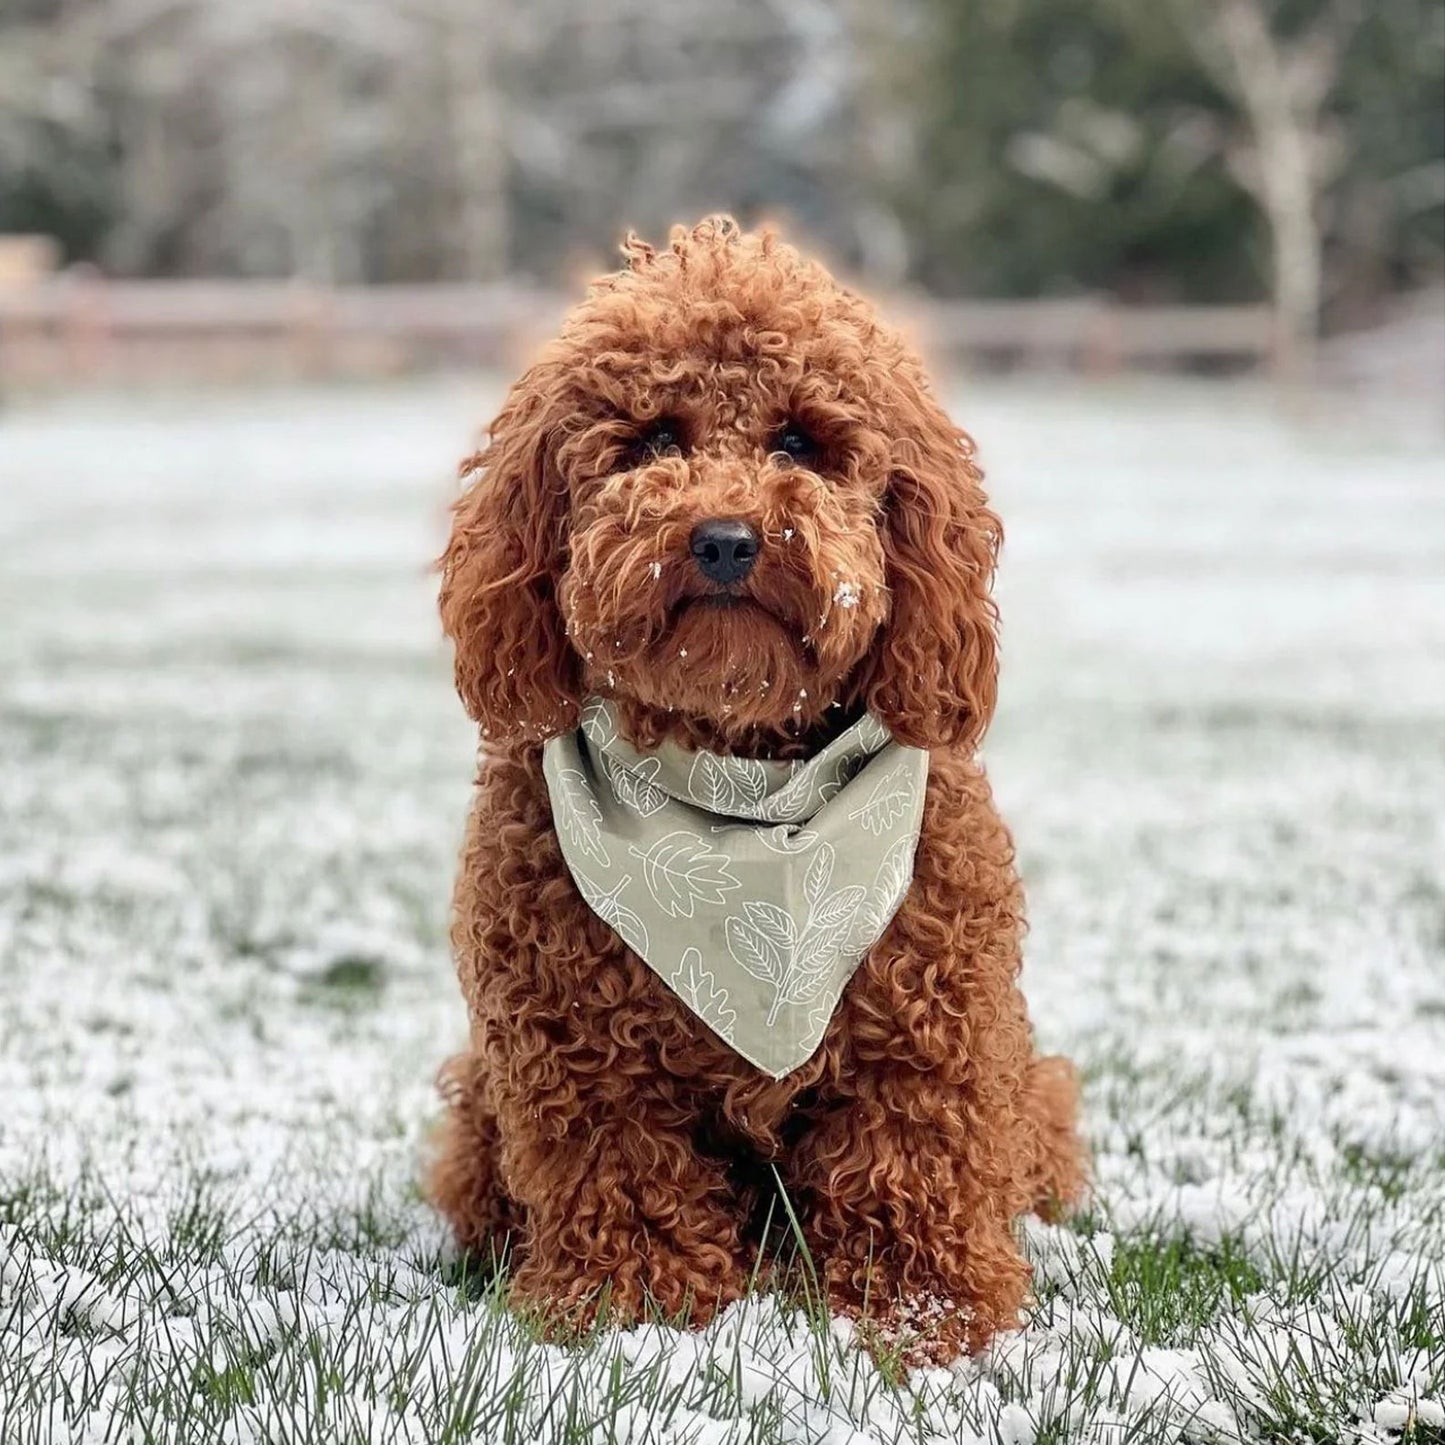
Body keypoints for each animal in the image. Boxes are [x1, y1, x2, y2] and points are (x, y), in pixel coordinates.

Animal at [424, 216, 1086, 1364]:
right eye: (653, 440)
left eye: (798, 443)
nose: (726, 537)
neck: (742, 796)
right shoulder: (574, 1050)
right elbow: (619, 1170)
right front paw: (630, 1308)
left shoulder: (929, 1032)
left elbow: (913, 1161)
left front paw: (925, 1314)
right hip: (476, 1114)